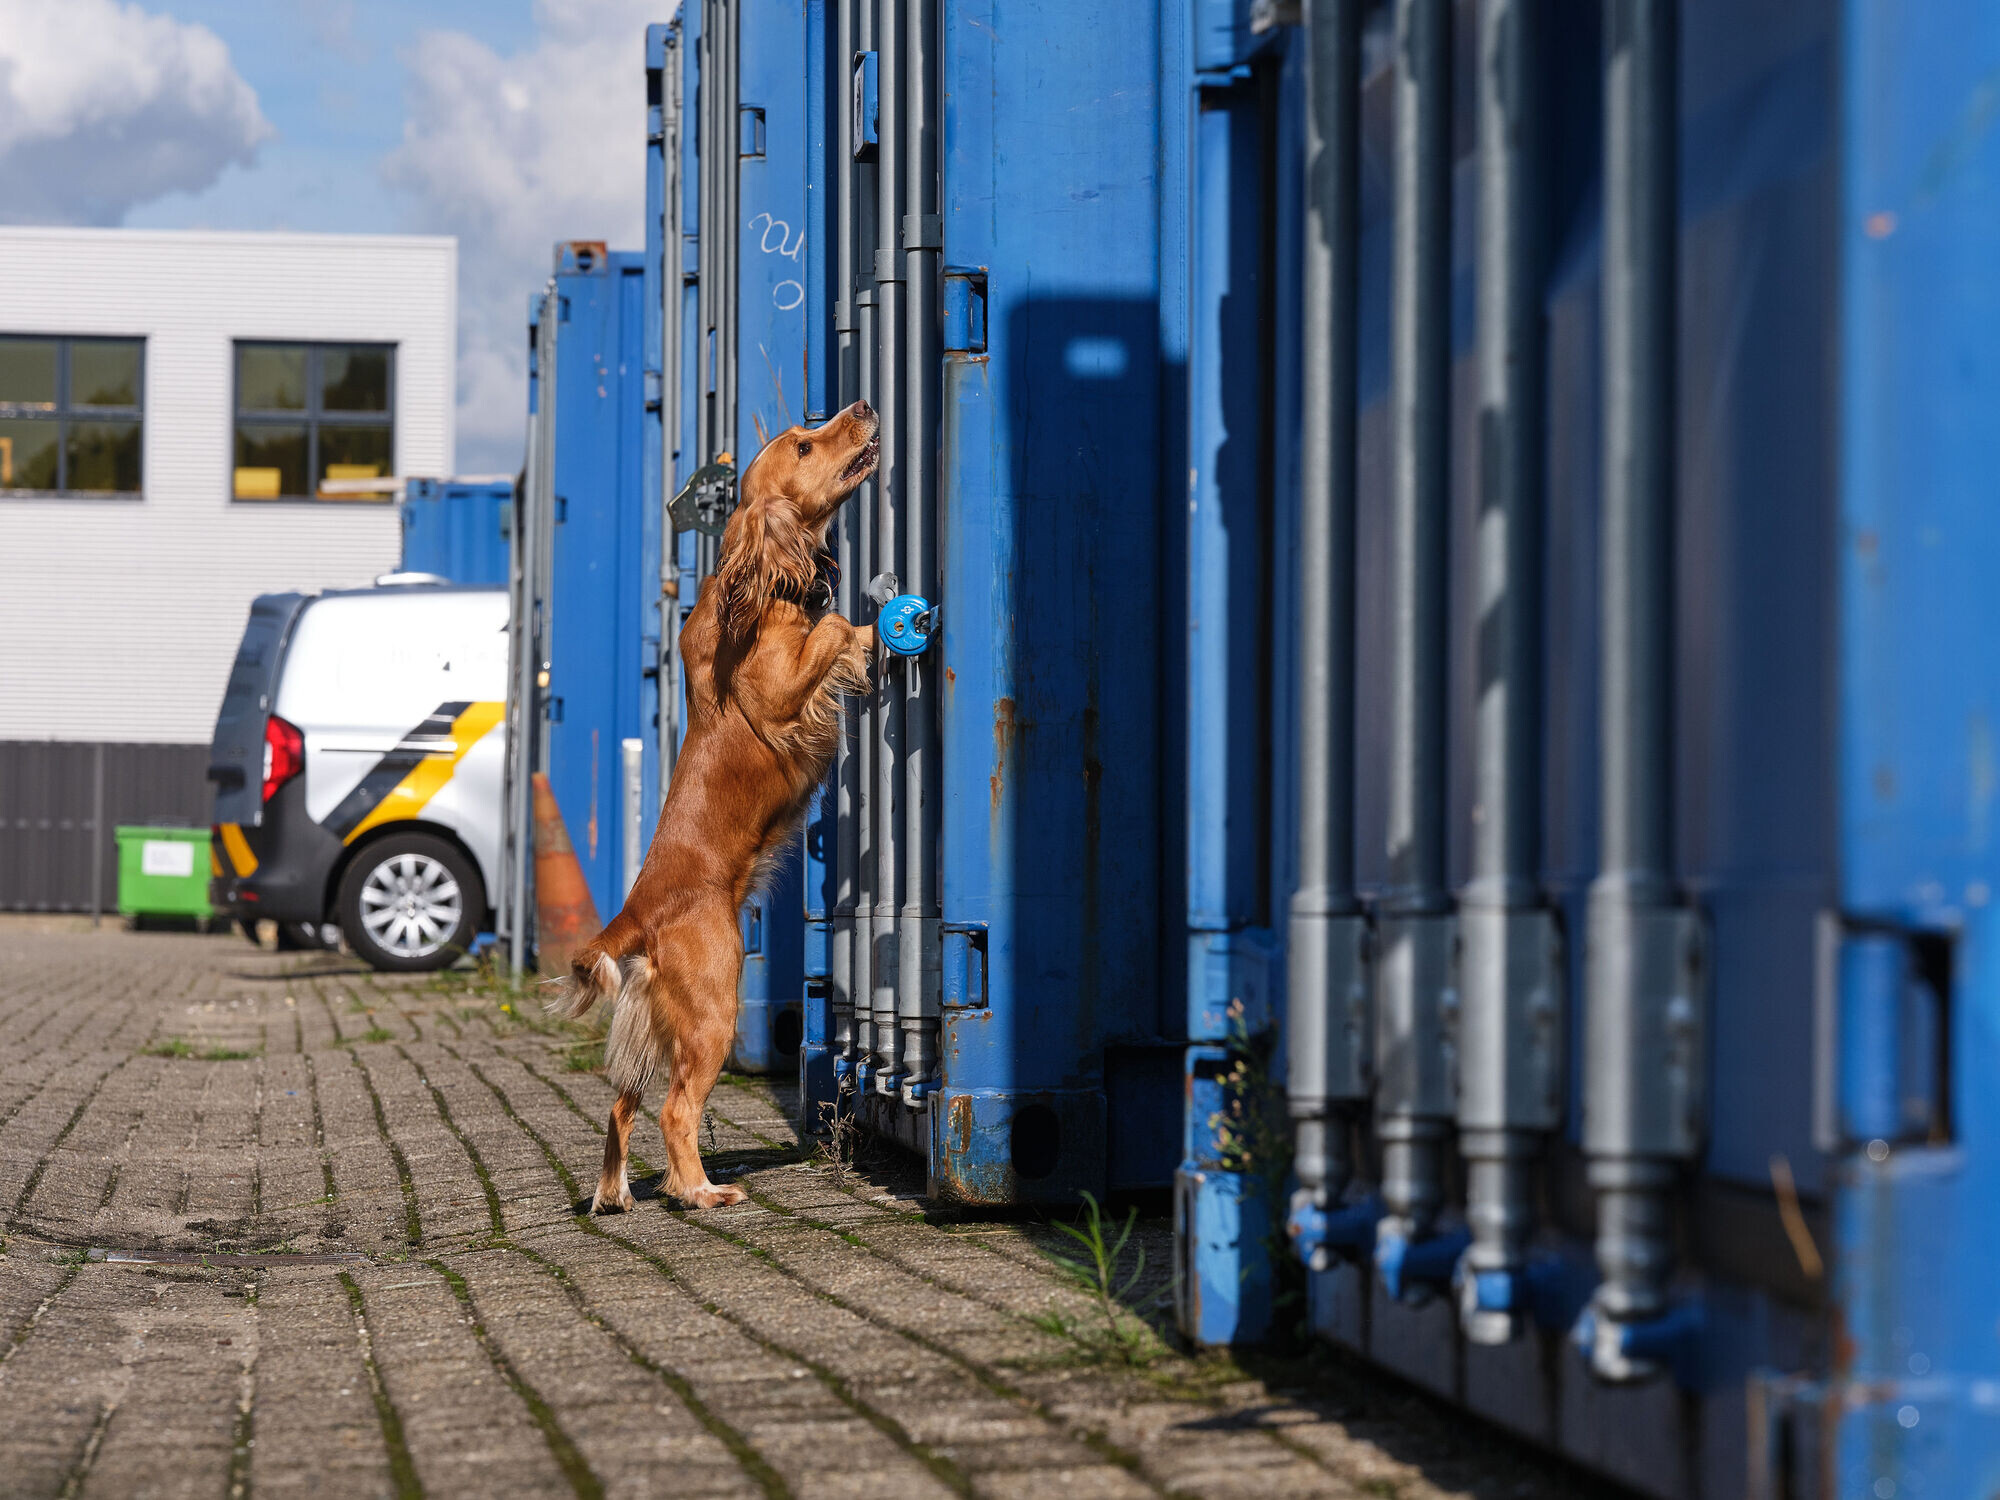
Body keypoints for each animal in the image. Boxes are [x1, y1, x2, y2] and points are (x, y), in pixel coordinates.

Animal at [548, 396, 876, 1208]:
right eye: (803, 444)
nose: (861, 405)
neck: (757, 585)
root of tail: (634, 913)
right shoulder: (781, 695)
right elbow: (829, 630)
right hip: (714, 1009)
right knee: (675, 1108)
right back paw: (700, 1191)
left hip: (660, 1023)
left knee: (620, 1105)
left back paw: (617, 1195)